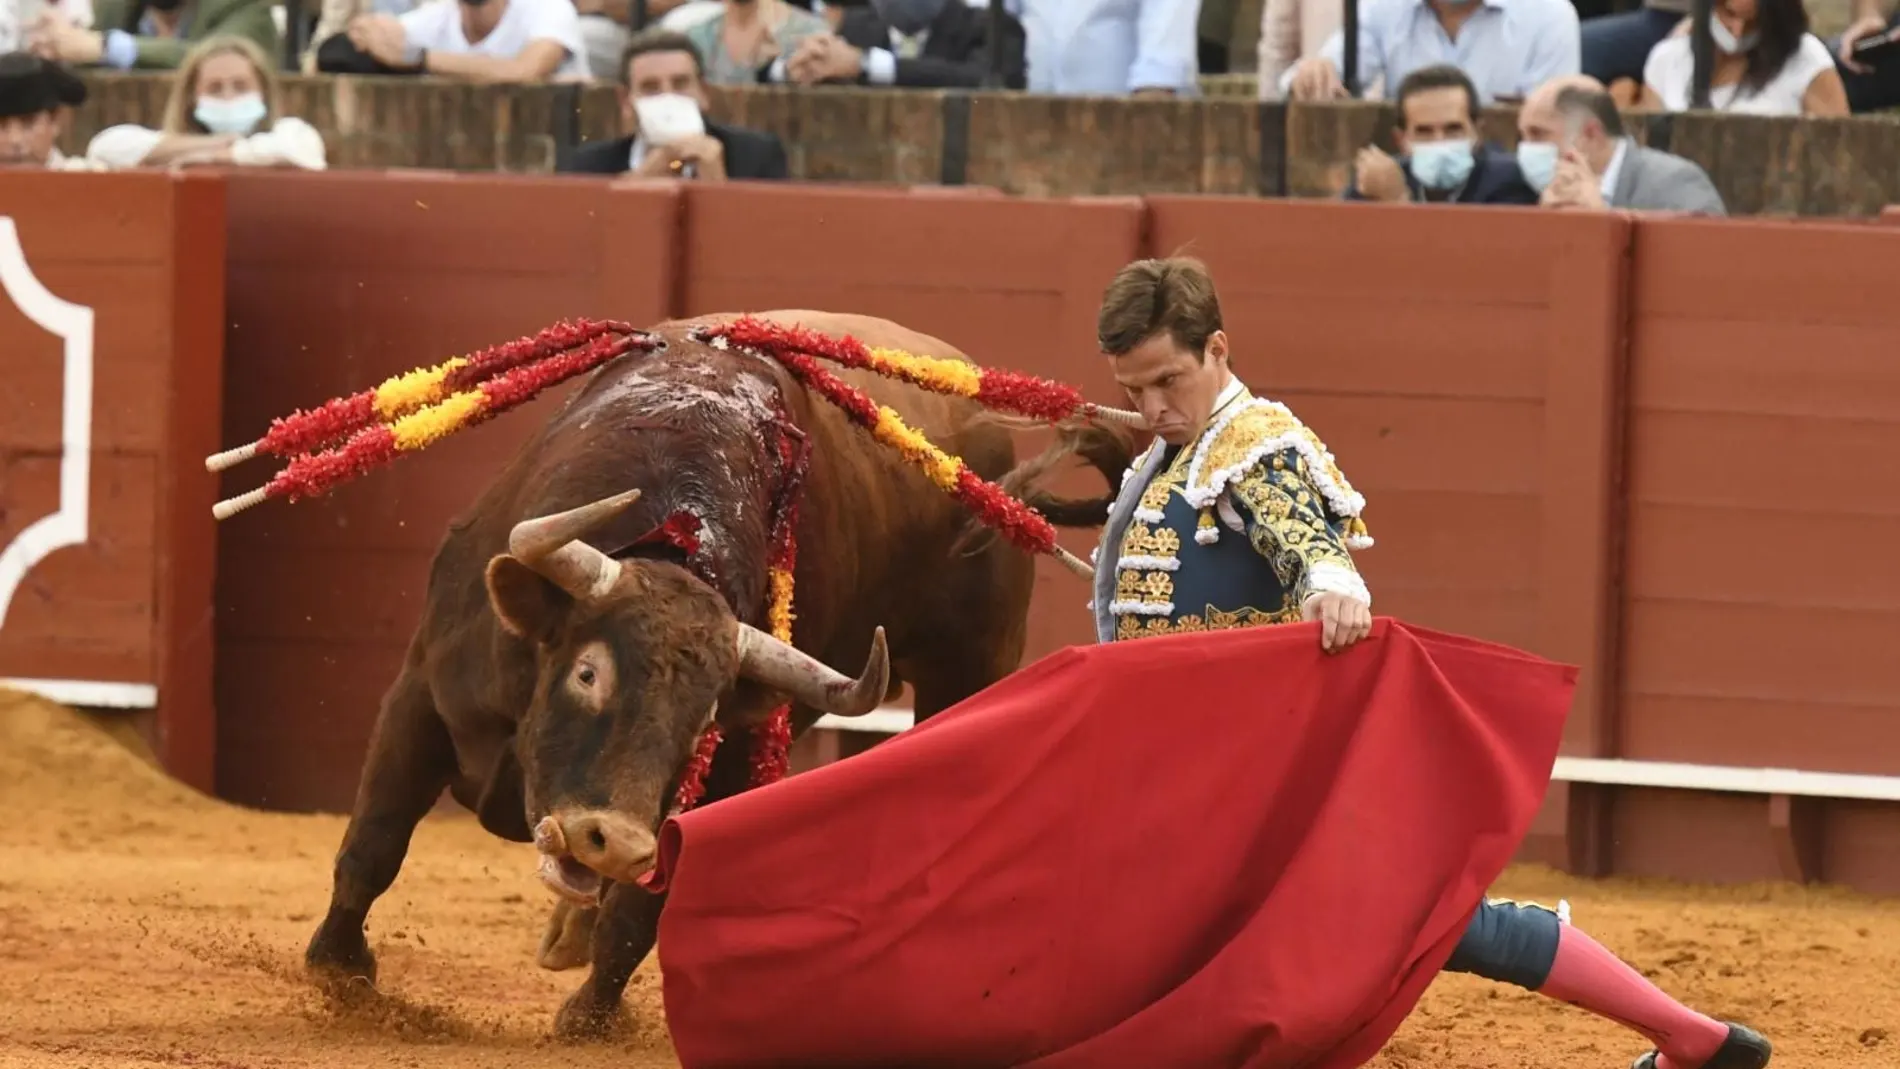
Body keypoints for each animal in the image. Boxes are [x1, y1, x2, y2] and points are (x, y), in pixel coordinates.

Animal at [304, 307, 1132, 1040]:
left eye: (703, 716)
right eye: (586, 673)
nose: (614, 843)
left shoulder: (722, 773)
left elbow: (642, 912)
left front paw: (590, 1017)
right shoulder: (420, 692)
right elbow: (375, 838)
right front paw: (339, 973)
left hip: (968, 669)